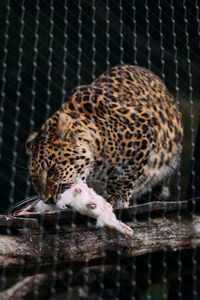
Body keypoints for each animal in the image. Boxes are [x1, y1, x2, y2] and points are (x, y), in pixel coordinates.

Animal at [25, 63, 184, 209]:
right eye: (34, 180)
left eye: (51, 171)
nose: (47, 200)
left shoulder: (143, 127)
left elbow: (126, 172)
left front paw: (116, 197)